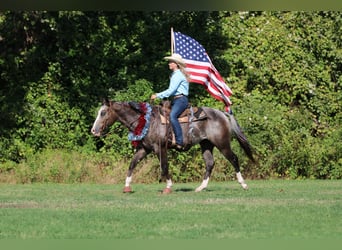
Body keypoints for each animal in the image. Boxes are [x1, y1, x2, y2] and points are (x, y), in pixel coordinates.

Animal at [91, 99, 254, 193]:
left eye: (103, 112)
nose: (94, 130)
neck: (147, 121)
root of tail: (221, 113)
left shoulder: (159, 148)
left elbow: (164, 166)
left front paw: (168, 187)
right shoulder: (144, 149)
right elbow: (132, 164)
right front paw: (126, 186)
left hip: (222, 144)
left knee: (234, 159)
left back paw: (244, 184)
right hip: (206, 144)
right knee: (210, 163)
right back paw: (201, 187)